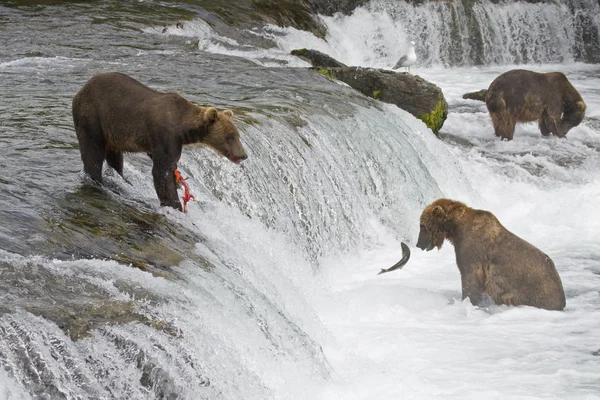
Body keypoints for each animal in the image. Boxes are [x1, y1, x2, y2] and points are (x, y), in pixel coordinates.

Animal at [72, 71, 246, 212]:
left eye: (237, 135)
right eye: (230, 136)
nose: (244, 155)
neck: (183, 127)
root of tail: (80, 90)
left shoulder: (162, 143)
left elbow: (169, 166)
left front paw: (178, 182)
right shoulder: (166, 135)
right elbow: (162, 170)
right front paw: (175, 204)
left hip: (111, 131)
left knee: (115, 157)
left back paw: (122, 179)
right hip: (93, 116)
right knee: (92, 152)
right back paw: (96, 180)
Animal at [414, 198, 564, 310]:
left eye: (422, 225)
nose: (418, 244)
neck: (455, 228)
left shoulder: (472, 250)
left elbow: (470, 278)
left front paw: (468, 301)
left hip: (538, 292)